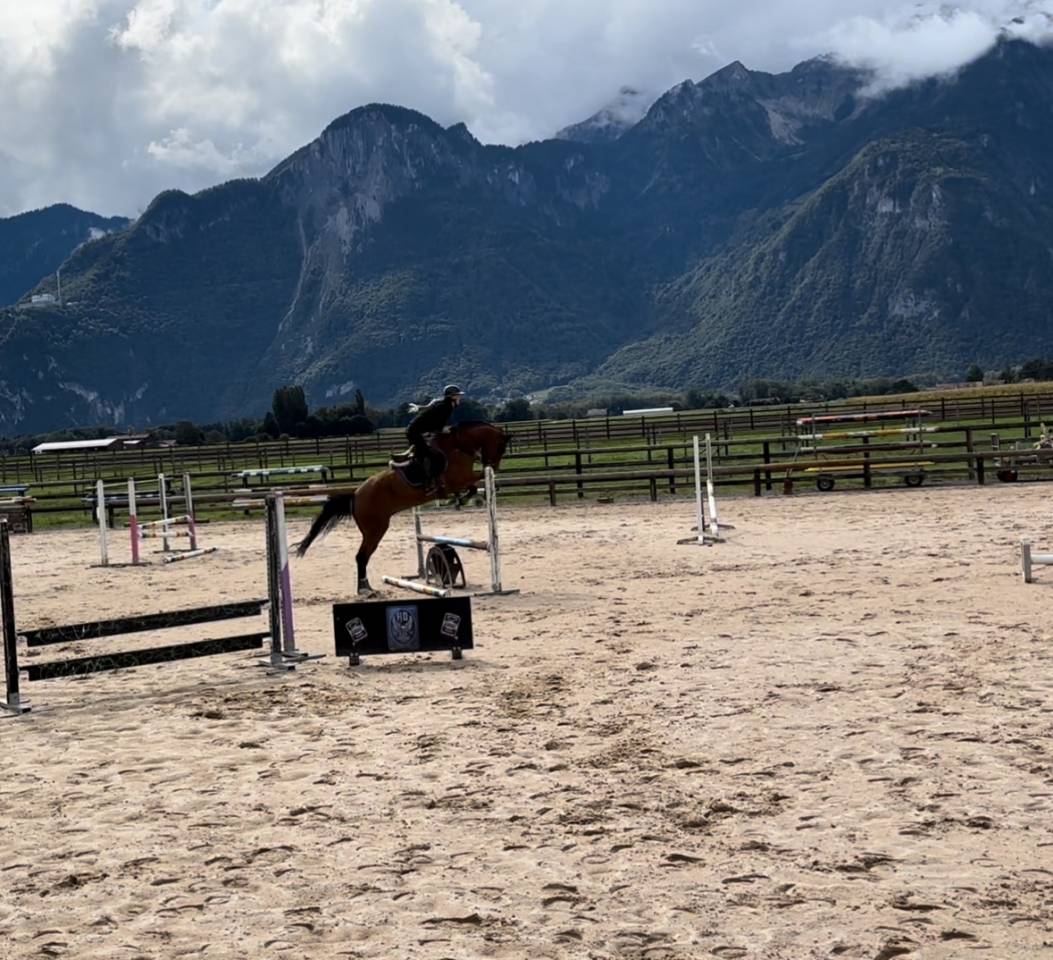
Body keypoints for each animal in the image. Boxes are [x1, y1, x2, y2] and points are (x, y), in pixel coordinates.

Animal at [297, 422, 510, 594]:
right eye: (501, 448)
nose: (495, 466)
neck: (458, 446)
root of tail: (356, 495)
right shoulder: (457, 481)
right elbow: (475, 481)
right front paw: (461, 498)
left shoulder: (460, 481)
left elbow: (473, 486)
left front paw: (461, 499)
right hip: (375, 530)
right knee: (361, 556)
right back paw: (366, 590)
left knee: (362, 556)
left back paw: (365, 588)